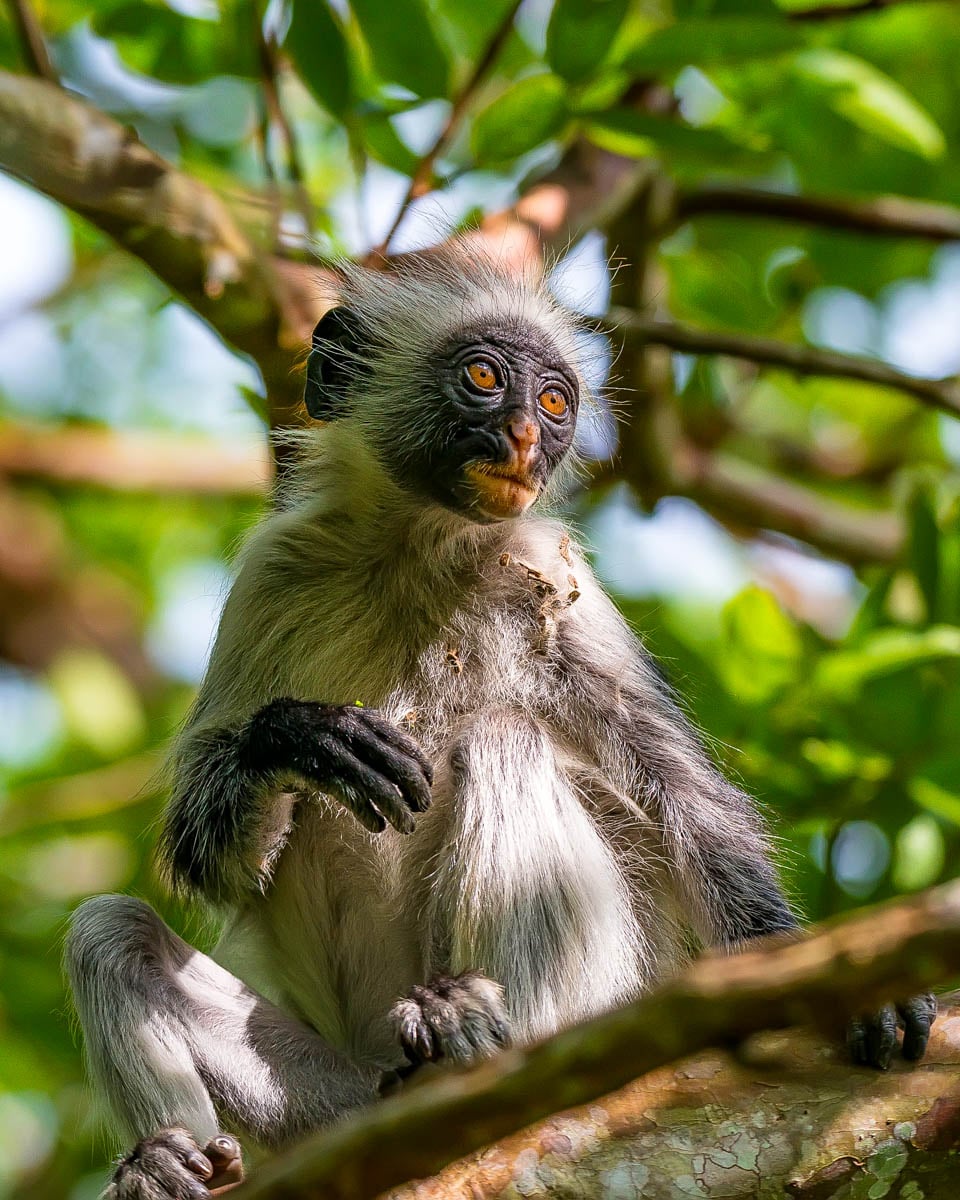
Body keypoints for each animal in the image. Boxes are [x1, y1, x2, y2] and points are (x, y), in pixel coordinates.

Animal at [66, 245, 937, 1200]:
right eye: (484, 378)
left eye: (555, 402)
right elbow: (210, 856)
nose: (526, 436)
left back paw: (480, 1037)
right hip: (335, 1100)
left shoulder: (556, 574)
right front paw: (298, 740)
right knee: (111, 932)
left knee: (504, 740)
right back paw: (168, 1160)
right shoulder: (275, 570)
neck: (419, 548)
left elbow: (688, 804)